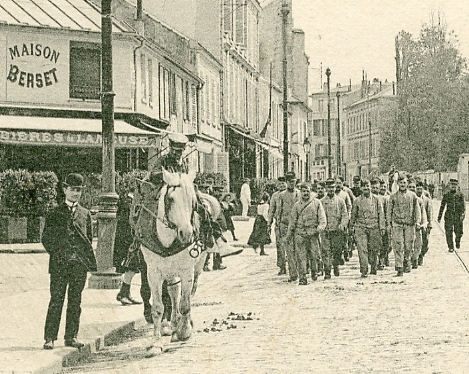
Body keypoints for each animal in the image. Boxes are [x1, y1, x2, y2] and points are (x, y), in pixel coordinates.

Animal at [137, 169, 219, 356]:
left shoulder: (187, 271)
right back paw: (173, 324)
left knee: (189, 293)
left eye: (193, 202)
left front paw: (184, 331)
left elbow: (185, 304)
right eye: (170, 199)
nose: (187, 233)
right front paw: (156, 343)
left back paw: (184, 324)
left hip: (197, 266)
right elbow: (158, 307)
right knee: (174, 291)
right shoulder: (153, 273)